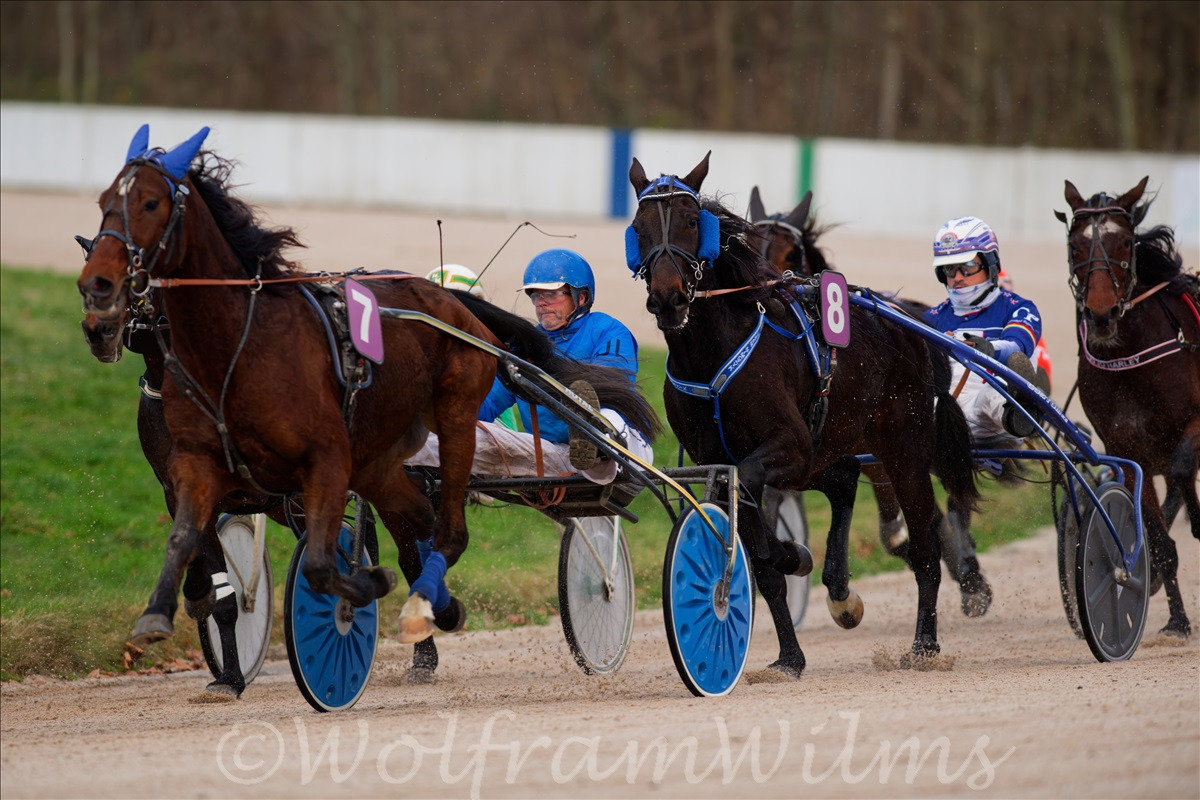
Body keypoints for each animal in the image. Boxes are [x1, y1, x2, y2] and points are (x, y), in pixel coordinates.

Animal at [77, 125, 659, 696]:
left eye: (151, 203)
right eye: (103, 204)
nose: (97, 307)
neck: (239, 351)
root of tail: (451, 304)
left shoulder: (322, 469)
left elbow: (319, 563)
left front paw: (352, 602)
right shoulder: (192, 474)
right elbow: (200, 562)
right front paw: (190, 637)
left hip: (454, 421)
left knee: (447, 532)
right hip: (383, 463)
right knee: (421, 527)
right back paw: (432, 606)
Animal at [1057, 176, 1200, 638]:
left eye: (1122, 241)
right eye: (1076, 244)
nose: (1101, 313)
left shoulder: (1194, 423)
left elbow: (1181, 468)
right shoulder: (1127, 447)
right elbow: (1157, 535)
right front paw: (1176, 619)